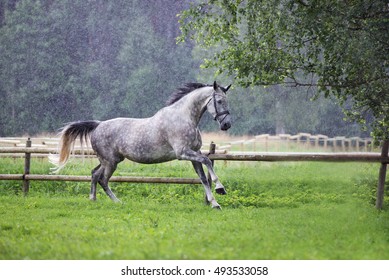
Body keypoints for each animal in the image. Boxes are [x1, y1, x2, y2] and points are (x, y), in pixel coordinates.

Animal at [51, 81, 233, 208]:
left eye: (227, 100)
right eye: (219, 101)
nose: (227, 125)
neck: (184, 117)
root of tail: (98, 125)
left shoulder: (194, 154)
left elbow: (203, 178)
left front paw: (215, 204)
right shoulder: (183, 153)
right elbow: (208, 161)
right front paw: (220, 189)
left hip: (110, 160)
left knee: (95, 174)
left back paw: (94, 199)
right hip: (110, 162)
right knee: (102, 179)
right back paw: (117, 202)